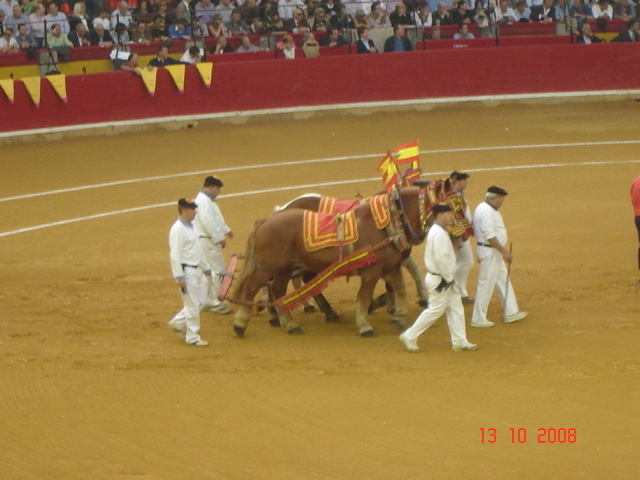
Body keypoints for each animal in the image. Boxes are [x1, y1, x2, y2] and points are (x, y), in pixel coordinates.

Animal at [232, 186, 432, 336]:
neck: (388, 221)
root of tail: (270, 217)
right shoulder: (374, 269)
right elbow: (368, 294)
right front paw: (368, 322)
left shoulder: (391, 265)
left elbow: (399, 286)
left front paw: (397, 313)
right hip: (270, 266)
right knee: (254, 286)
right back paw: (244, 323)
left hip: (286, 267)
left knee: (280, 287)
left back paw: (293, 321)